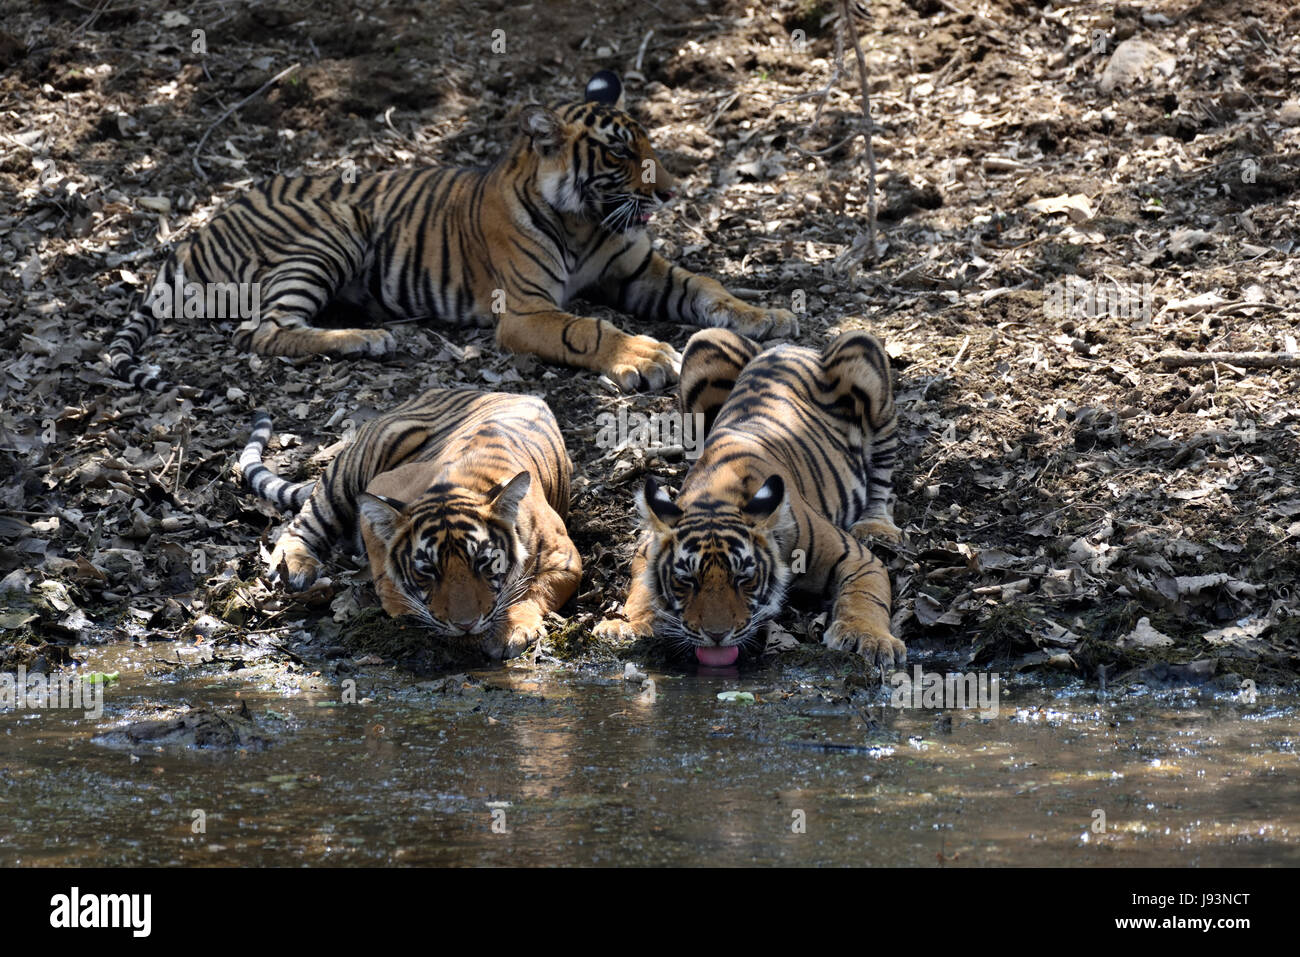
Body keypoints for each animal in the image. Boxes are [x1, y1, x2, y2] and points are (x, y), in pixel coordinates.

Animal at [106, 69, 795, 395]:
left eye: (648, 143)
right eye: (621, 153)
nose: (672, 192)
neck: (584, 223)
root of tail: (199, 231)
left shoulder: (637, 271)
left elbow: (705, 285)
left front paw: (767, 316)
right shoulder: (526, 310)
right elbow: (587, 328)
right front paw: (647, 356)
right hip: (333, 230)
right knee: (262, 332)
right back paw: (369, 340)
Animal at [240, 387, 585, 657]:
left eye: (484, 563)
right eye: (427, 571)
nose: (466, 625)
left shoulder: (566, 561)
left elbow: (533, 591)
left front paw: (512, 630)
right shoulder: (380, 489)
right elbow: (387, 574)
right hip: (355, 468)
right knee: (301, 524)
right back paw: (297, 568)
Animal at [595, 325, 904, 670]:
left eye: (744, 578)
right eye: (687, 580)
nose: (716, 635)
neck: (716, 495)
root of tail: (788, 347)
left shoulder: (857, 558)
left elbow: (865, 596)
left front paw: (869, 637)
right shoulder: (649, 547)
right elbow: (642, 589)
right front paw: (629, 625)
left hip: (862, 352)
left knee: (882, 470)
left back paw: (877, 526)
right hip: (705, 343)